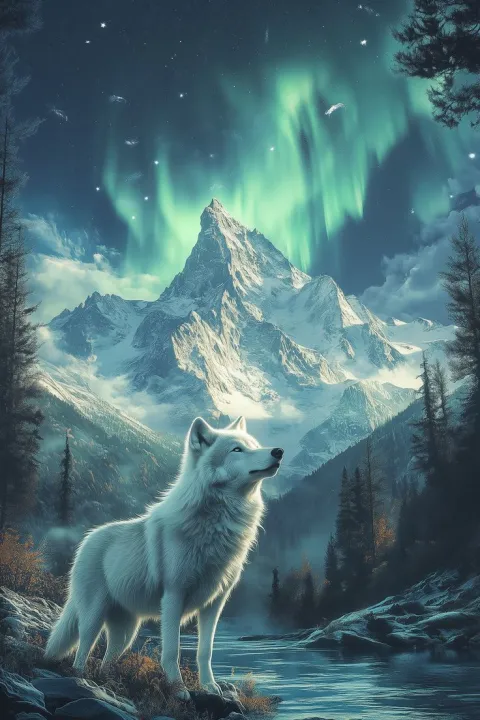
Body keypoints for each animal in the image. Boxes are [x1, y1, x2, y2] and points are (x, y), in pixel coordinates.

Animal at [45, 416, 284, 699]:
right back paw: (81, 679)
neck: (218, 524)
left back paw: (109, 683)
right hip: (93, 617)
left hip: (126, 633)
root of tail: (86, 540)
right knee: (83, 648)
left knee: (106, 659)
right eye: (237, 450)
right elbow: (172, 651)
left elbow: (205, 651)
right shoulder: (173, 595)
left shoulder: (215, 603)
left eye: (255, 445)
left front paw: (210, 687)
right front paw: (179, 690)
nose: (278, 451)